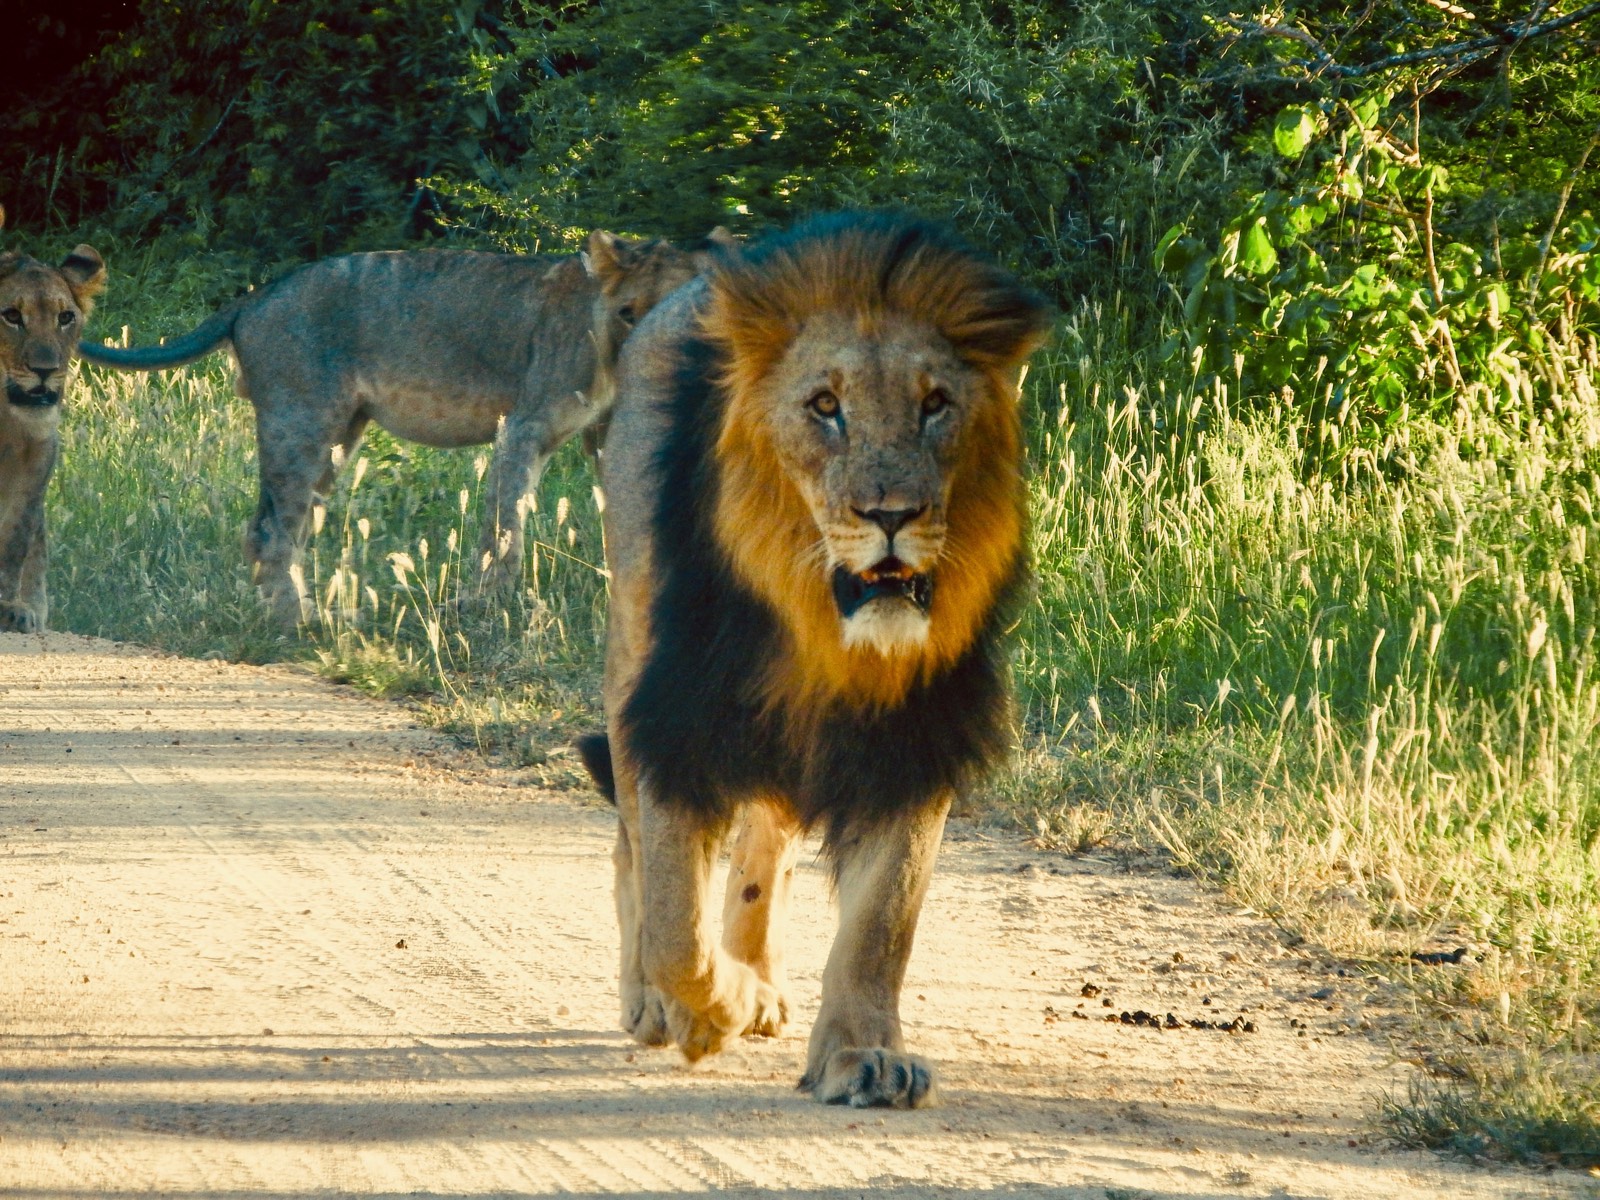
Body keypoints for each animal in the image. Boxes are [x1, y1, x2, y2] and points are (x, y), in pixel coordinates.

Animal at [78, 230, 723, 626]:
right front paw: (485, 610)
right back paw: (298, 621)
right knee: (269, 530)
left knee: (287, 526)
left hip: (339, 436)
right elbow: (505, 527)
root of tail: (256, 296)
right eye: (628, 313)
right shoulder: (522, 425)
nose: (650, 364)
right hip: (301, 420)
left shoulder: (606, 437)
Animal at [577, 212, 1052, 1108]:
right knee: (634, 852)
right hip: (628, 646)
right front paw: (708, 1010)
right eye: (825, 407)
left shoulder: (915, 735)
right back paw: (661, 1003)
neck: (822, 632)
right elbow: (674, 920)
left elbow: (881, 922)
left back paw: (761, 979)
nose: (892, 515)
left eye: (936, 405)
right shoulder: (671, 713)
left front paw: (862, 1055)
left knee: (766, 847)